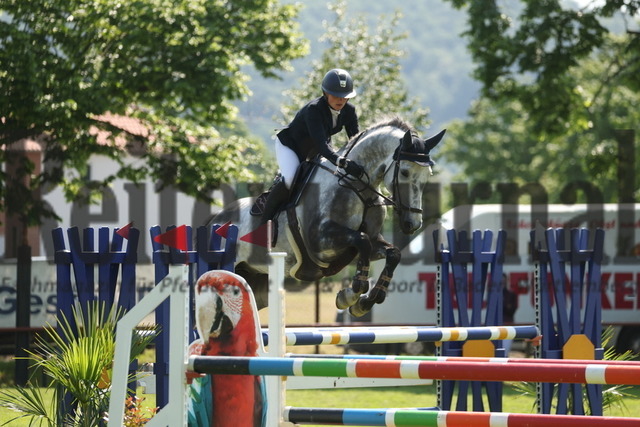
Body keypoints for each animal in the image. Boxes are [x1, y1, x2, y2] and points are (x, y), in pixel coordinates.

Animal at [210, 117, 444, 318]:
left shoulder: (369, 242)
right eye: (404, 172)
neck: (357, 187)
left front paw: (364, 303)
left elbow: (392, 253)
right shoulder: (321, 242)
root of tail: (214, 221)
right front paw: (350, 295)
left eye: (428, 175)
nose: (412, 224)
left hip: (256, 279)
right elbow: (362, 240)